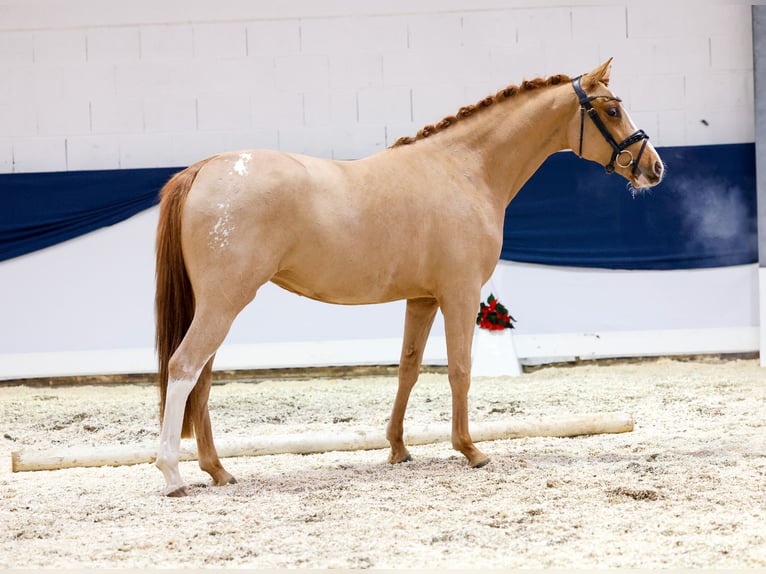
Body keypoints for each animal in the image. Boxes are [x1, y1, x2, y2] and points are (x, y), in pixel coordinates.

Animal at [153, 60, 664, 498]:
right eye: (612, 110)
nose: (654, 167)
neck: (463, 170)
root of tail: (205, 168)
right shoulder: (461, 294)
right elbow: (460, 369)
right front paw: (470, 449)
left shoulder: (422, 298)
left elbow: (408, 369)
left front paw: (398, 449)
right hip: (225, 303)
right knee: (185, 368)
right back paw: (172, 474)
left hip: (217, 305)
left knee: (200, 381)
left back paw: (218, 470)